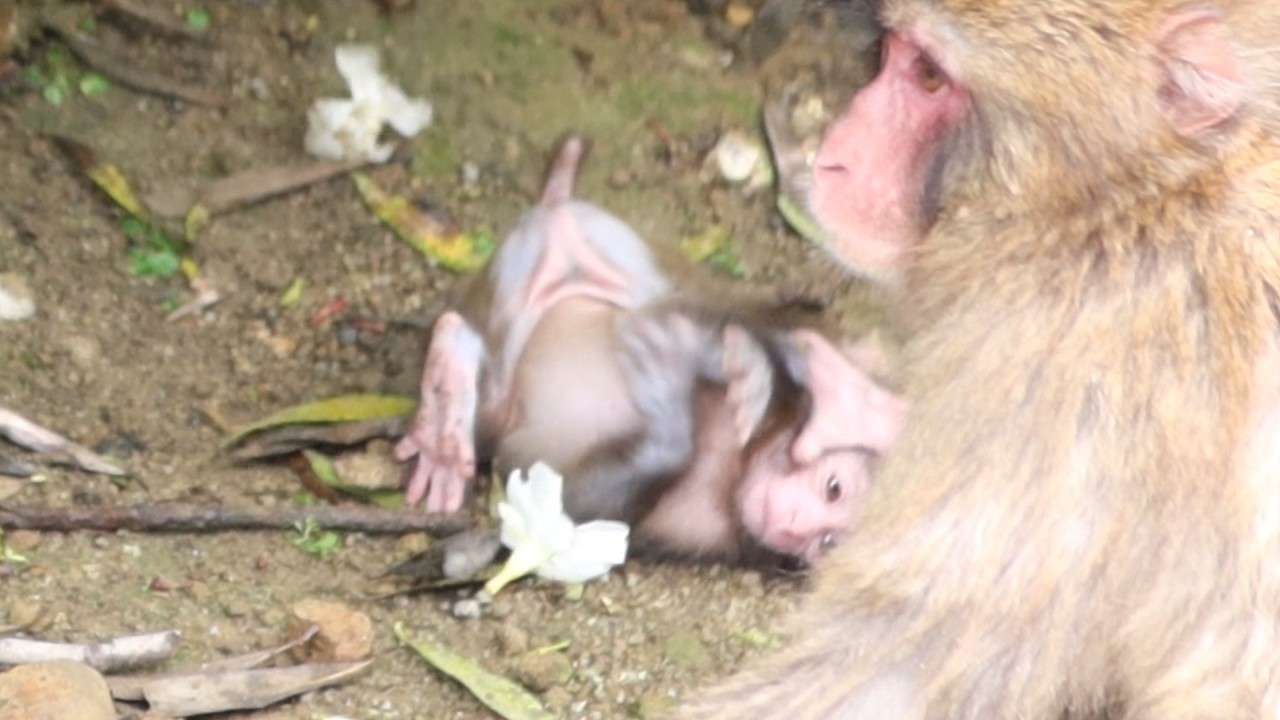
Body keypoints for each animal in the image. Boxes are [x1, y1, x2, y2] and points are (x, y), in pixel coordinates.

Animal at [394, 136, 905, 565]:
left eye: (828, 541)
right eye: (833, 488)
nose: (794, 526)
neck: (739, 465)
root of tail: (557, 211)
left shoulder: (706, 532)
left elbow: (569, 507)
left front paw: (668, 404)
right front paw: (824, 386)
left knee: (495, 402)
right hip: (605, 250)